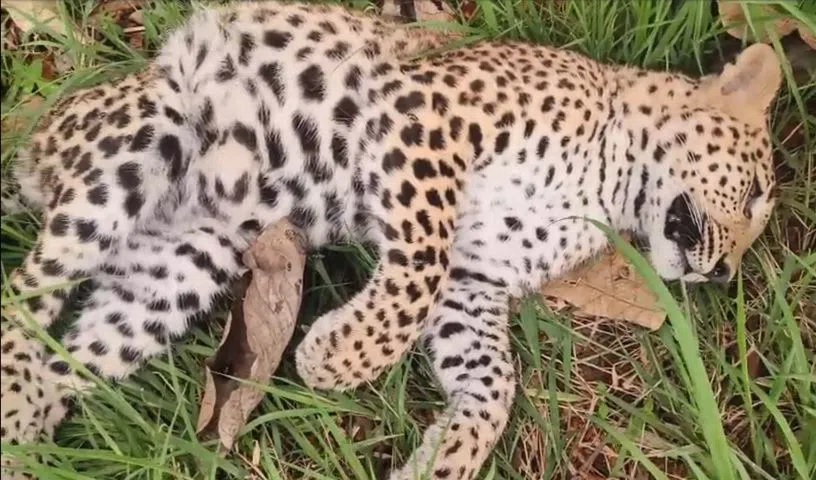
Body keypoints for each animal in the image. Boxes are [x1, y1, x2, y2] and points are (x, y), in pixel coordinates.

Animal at [0, 1, 782, 479]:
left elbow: (494, 384)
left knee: (68, 356)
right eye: (753, 194)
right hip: (144, 137)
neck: (607, 189)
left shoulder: (476, 283)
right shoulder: (430, 121)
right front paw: (337, 358)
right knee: (22, 298)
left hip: (181, 266)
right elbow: (417, 269)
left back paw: (28, 438)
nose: (724, 273)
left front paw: (445, 458)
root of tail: (35, 147)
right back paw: (14, 412)